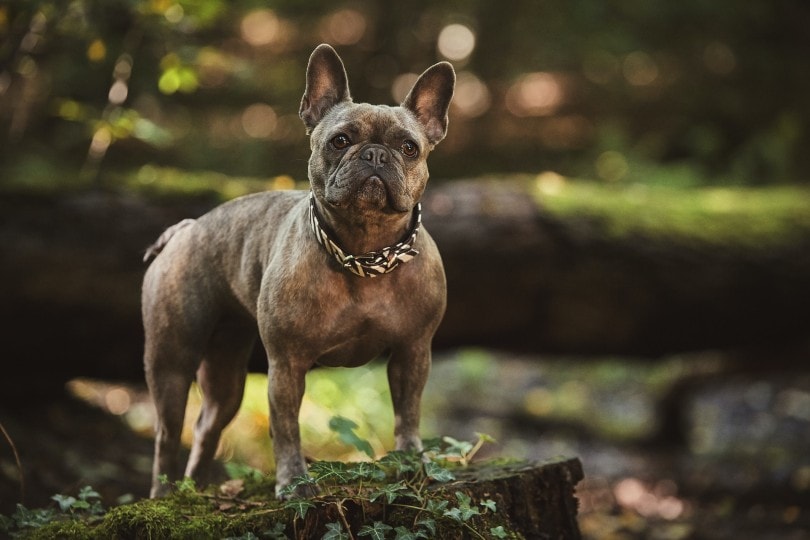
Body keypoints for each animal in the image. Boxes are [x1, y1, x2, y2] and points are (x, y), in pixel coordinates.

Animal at [141, 44, 452, 500]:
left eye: (409, 148)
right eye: (340, 141)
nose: (375, 154)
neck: (364, 252)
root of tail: (186, 228)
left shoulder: (413, 352)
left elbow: (407, 414)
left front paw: (411, 462)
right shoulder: (287, 364)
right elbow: (286, 427)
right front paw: (293, 482)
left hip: (226, 371)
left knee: (207, 426)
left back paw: (194, 490)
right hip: (172, 361)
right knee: (167, 434)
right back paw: (164, 498)